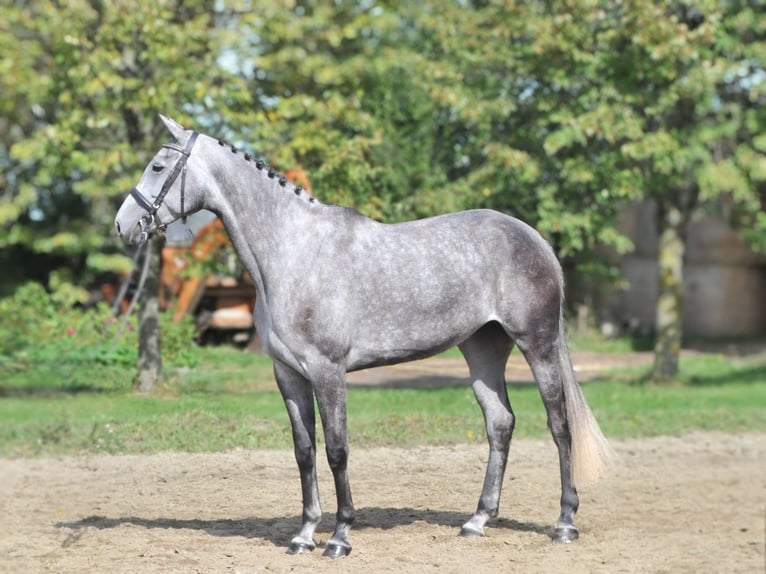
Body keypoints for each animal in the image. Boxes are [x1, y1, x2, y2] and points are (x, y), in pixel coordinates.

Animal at [115, 115, 616, 560]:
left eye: (157, 166)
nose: (123, 224)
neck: (294, 251)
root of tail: (535, 239)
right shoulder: (288, 374)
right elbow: (304, 452)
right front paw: (303, 535)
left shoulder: (328, 371)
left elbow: (337, 450)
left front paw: (339, 538)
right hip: (482, 349)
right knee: (500, 422)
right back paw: (476, 521)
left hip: (538, 345)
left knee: (559, 425)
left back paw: (564, 524)